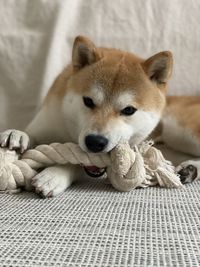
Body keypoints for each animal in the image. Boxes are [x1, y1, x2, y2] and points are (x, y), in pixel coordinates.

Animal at [0, 36, 200, 197]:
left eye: (128, 110)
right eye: (88, 101)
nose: (95, 142)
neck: (68, 133)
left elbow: (76, 163)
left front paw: (54, 175)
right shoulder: (47, 121)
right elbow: (29, 133)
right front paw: (17, 134)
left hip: (178, 130)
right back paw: (189, 169)